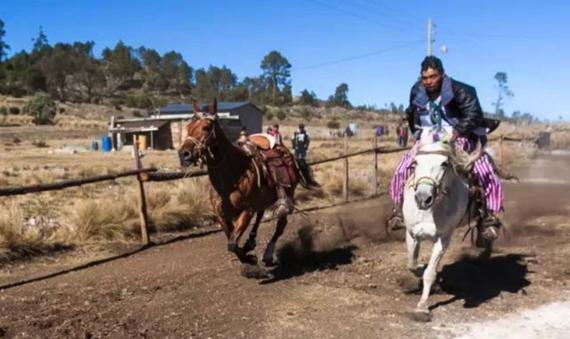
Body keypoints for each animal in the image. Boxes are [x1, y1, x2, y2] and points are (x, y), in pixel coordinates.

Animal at [179, 101, 298, 266]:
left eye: (206, 127)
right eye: (188, 126)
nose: (184, 154)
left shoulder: (246, 211)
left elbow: (232, 243)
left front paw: (250, 258)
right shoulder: (221, 215)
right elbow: (231, 239)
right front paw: (247, 253)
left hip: (287, 196)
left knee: (280, 225)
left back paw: (268, 254)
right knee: (260, 215)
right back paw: (251, 242)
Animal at [402, 128, 482, 322]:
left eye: (444, 164)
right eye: (415, 163)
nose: (423, 198)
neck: (430, 211)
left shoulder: (443, 239)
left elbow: (429, 273)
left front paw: (422, 307)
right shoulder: (411, 234)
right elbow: (412, 265)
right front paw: (429, 277)